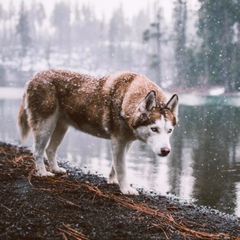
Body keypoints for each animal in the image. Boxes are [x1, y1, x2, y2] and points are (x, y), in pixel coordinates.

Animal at [18, 69, 178, 195]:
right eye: (154, 129)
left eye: (169, 131)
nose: (166, 151)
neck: (126, 98)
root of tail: (33, 77)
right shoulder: (119, 141)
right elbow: (122, 168)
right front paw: (126, 189)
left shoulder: (126, 143)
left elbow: (115, 165)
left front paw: (112, 180)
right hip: (45, 127)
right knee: (38, 151)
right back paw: (43, 172)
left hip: (61, 128)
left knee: (50, 150)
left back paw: (56, 169)